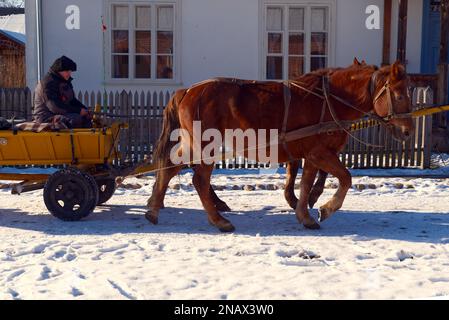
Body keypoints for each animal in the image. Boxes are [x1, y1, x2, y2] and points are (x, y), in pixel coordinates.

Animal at [147, 60, 412, 231]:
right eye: (399, 95)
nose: (407, 131)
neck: (328, 101)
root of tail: (187, 90)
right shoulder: (320, 153)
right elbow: (345, 178)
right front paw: (326, 208)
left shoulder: (311, 155)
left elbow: (306, 185)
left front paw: (305, 214)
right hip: (206, 145)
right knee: (199, 179)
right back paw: (218, 220)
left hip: (191, 143)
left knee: (169, 166)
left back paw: (153, 209)